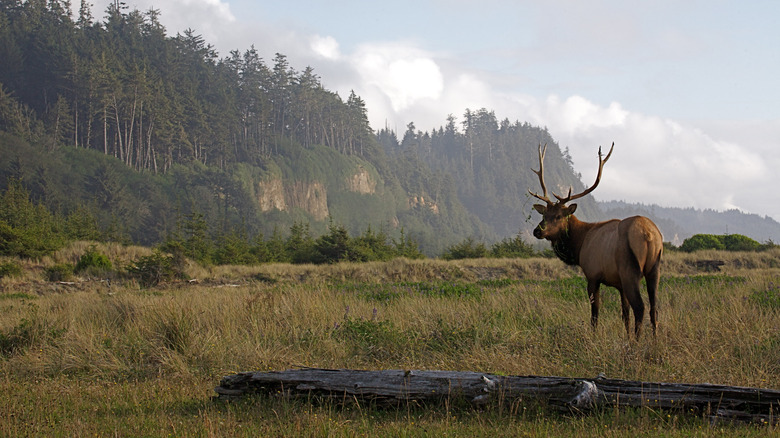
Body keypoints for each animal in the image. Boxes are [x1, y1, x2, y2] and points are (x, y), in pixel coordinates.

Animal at [529, 142, 663, 338]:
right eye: (544, 214)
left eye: (559, 216)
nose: (537, 231)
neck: (579, 245)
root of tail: (649, 235)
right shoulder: (619, 284)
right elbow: (624, 314)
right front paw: (627, 338)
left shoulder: (593, 275)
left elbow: (595, 313)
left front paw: (594, 337)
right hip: (654, 269)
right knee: (654, 308)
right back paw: (654, 340)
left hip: (630, 270)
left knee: (640, 307)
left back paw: (639, 342)